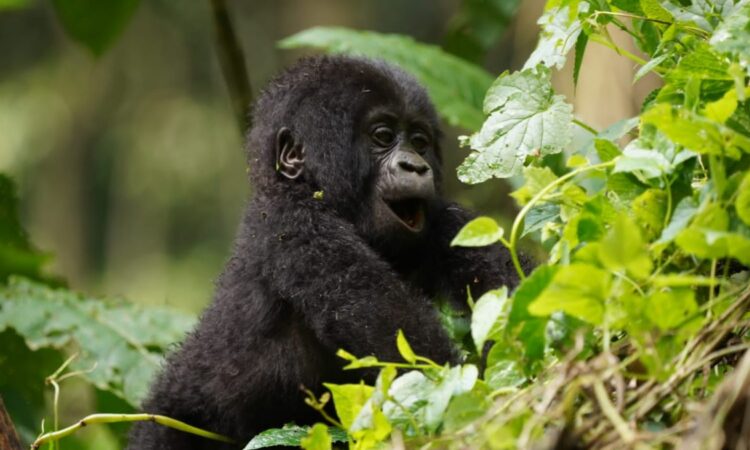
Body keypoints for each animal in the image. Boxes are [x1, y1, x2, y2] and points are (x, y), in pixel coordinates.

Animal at [126, 56, 520, 450]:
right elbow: (404, 347)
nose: (415, 166)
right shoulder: (297, 225)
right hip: (170, 416)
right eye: (383, 137)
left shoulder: (447, 220)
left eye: (420, 142)